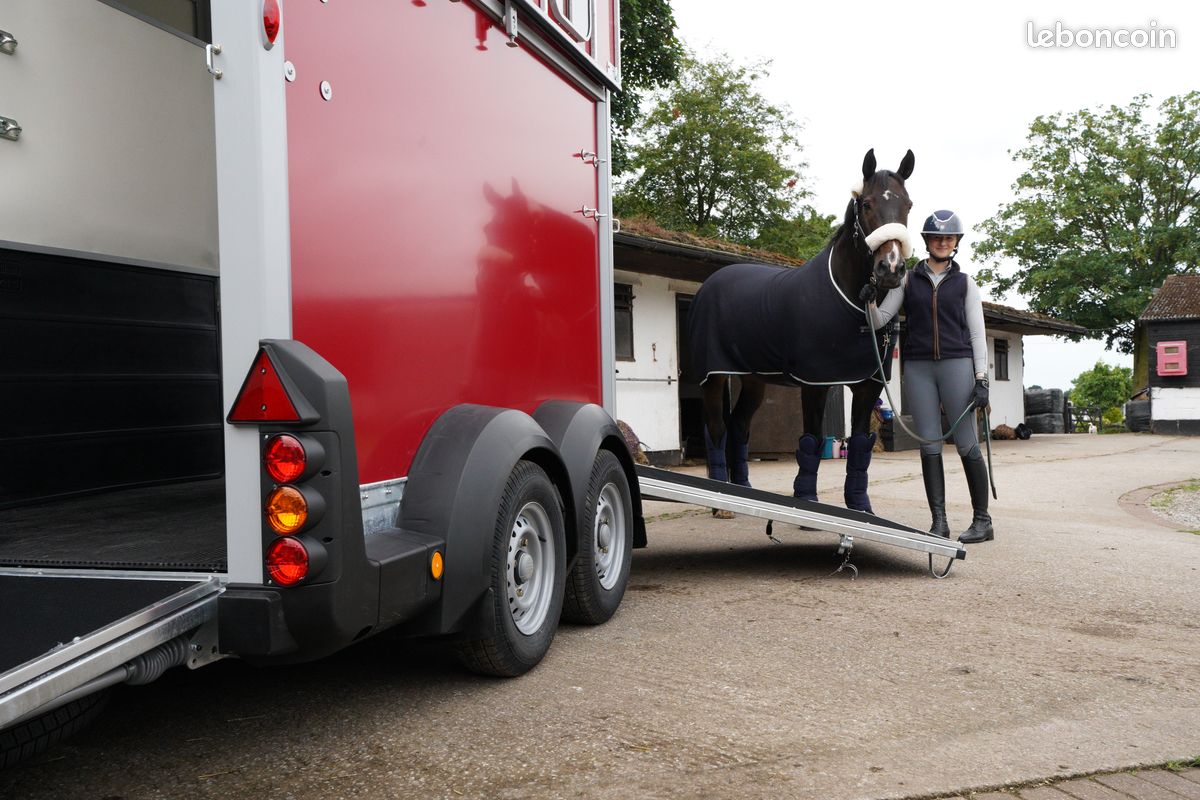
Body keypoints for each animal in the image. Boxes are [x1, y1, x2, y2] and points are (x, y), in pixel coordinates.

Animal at [688, 148, 915, 514]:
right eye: (867, 204)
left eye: (907, 205)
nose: (891, 268)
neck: (853, 305)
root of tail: (710, 284)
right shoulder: (815, 382)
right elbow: (811, 439)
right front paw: (806, 500)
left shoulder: (868, 384)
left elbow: (861, 444)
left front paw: (860, 507)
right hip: (715, 375)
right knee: (717, 429)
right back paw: (721, 501)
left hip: (754, 379)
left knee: (739, 427)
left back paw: (743, 490)